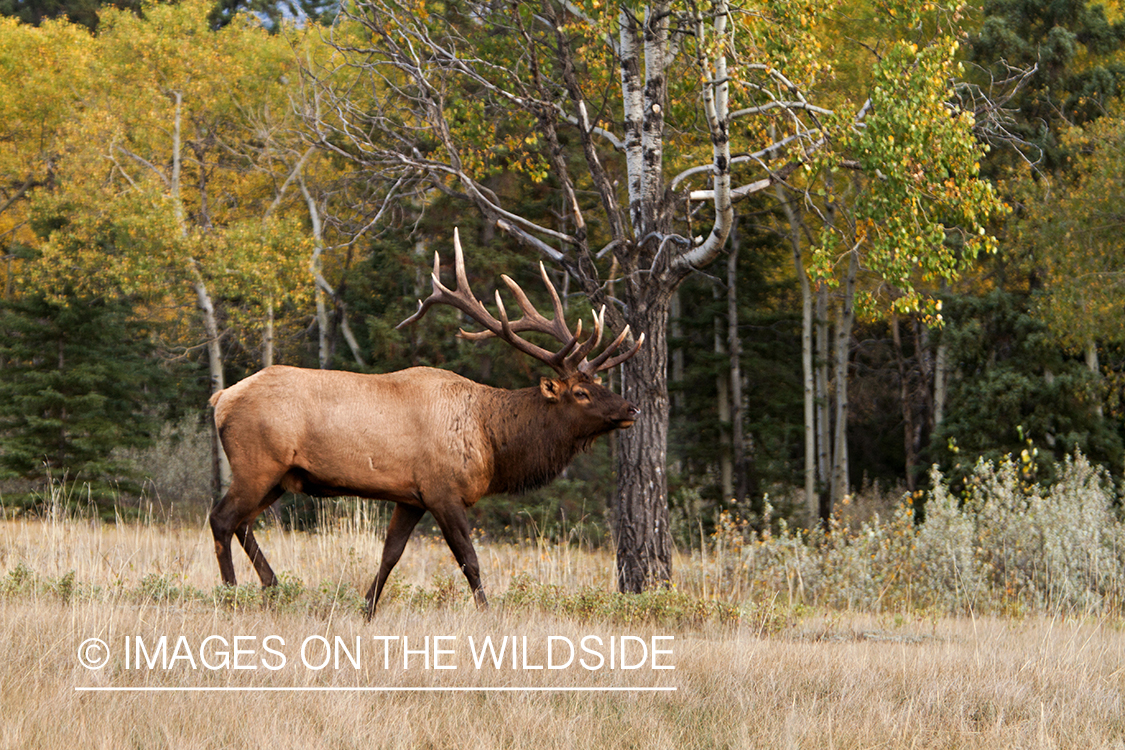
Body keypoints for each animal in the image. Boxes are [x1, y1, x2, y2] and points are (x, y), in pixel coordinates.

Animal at [204, 231, 643, 620]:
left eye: (598, 382)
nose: (632, 408)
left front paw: (366, 610)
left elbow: (390, 555)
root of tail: (220, 398)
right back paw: (230, 593)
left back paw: (273, 585)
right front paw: (488, 614)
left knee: (243, 523)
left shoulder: (410, 497)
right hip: (256, 463)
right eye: (581, 393)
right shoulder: (442, 489)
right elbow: (469, 560)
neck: (492, 441)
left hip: (280, 476)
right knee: (222, 518)